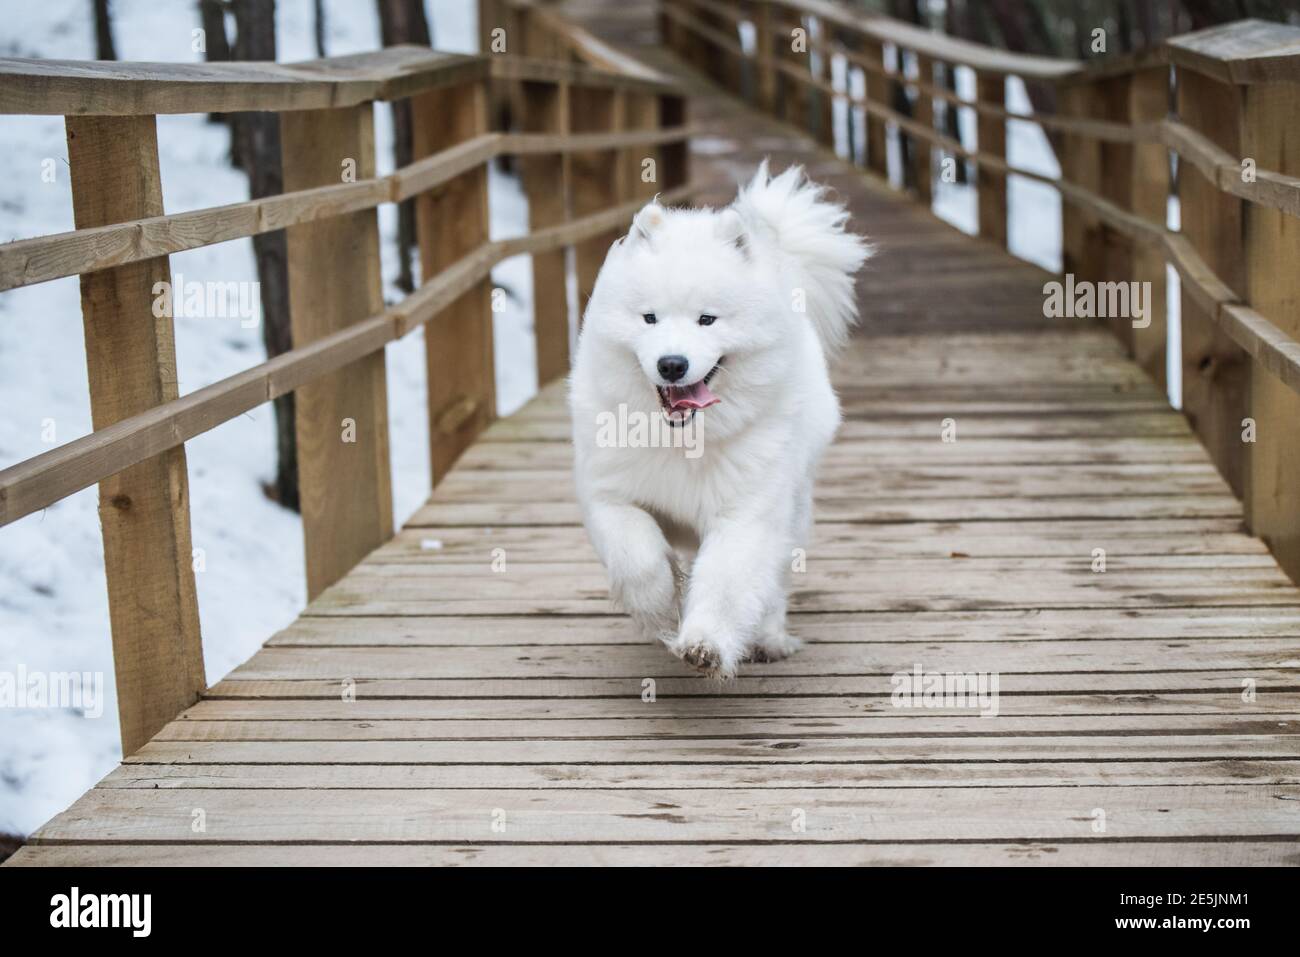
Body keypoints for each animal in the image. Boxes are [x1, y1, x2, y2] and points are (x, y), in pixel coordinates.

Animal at [572, 160, 868, 676]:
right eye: (649, 318)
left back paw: (768, 639)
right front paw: (659, 608)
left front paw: (705, 643)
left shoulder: (747, 513)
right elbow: (637, 557)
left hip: (792, 510)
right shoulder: (609, 495)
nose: (672, 364)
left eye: (707, 320)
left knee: (773, 583)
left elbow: (728, 582)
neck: (683, 442)